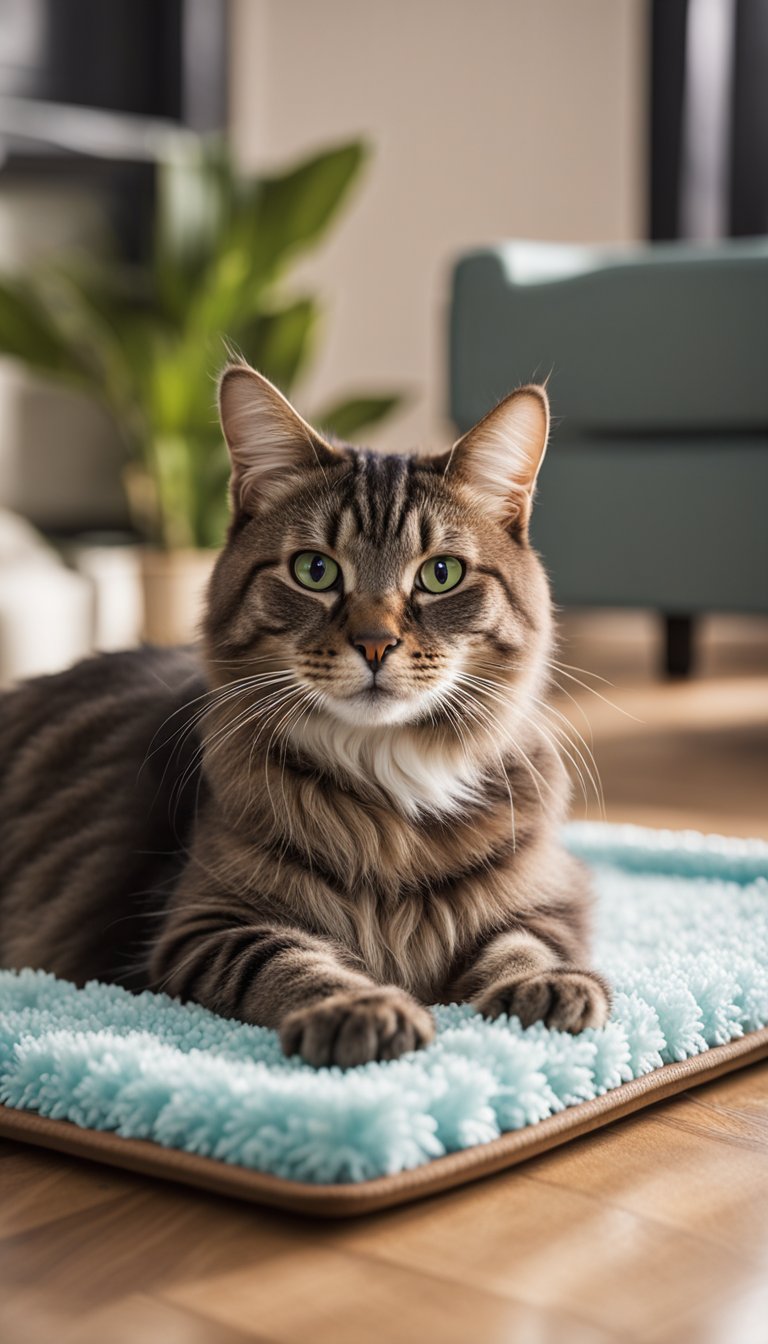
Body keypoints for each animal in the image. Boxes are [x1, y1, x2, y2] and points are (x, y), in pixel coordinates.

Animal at [0, 365, 613, 1059]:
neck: (389, 777)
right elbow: (291, 962)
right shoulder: (205, 923)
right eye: (315, 570)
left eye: (441, 574)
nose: (375, 643)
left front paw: (548, 988)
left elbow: (529, 943)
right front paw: (362, 1007)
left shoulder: (555, 894)